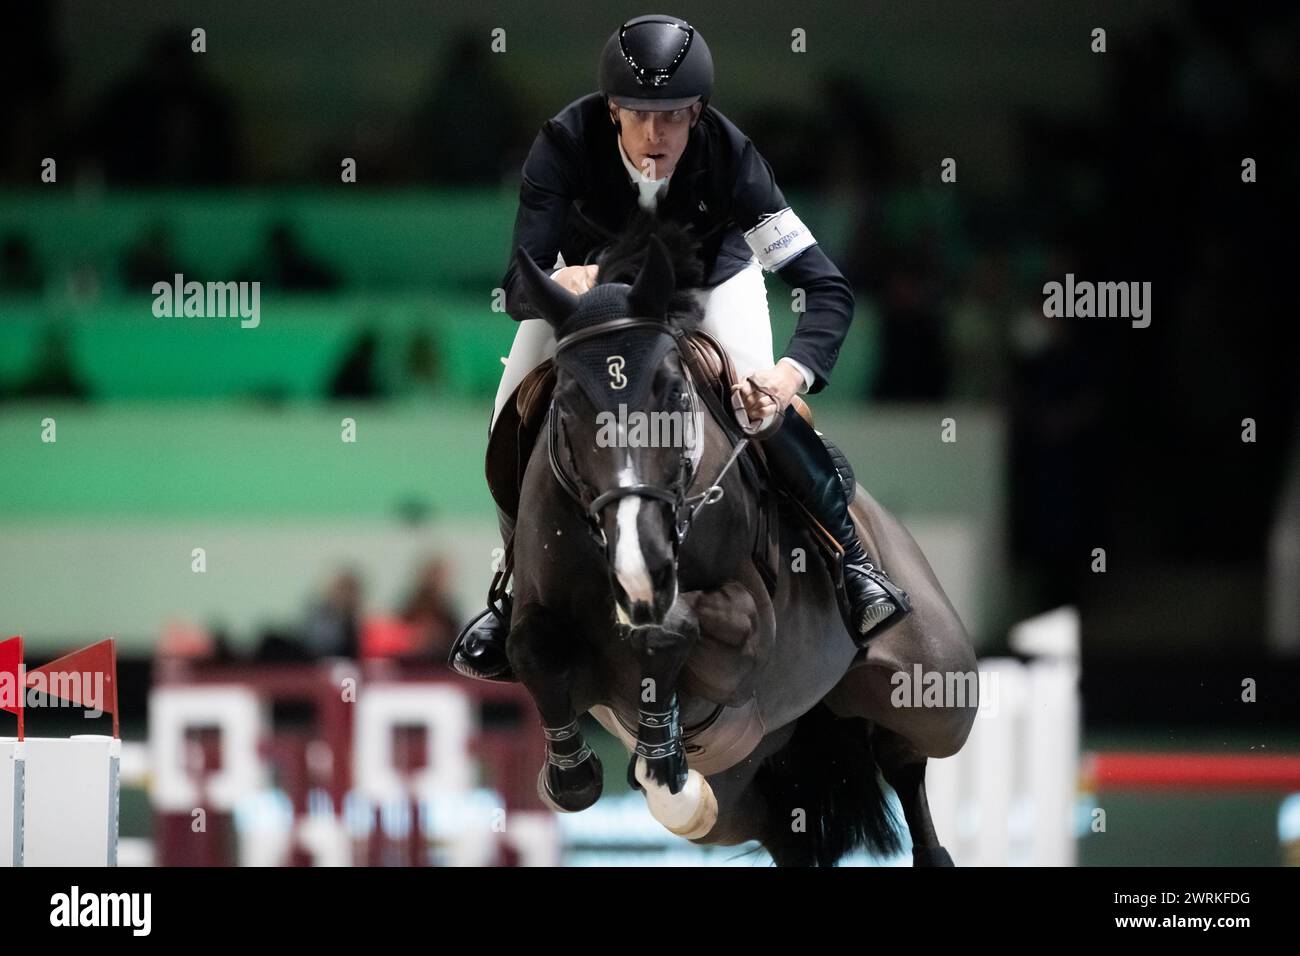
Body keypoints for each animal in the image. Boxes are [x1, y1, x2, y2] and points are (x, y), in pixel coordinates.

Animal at [496, 223, 977, 868]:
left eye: (675, 393)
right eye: (569, 400)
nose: (640, 569)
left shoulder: (748, 635)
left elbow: (680, 626)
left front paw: (662, 751)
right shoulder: (540, 616)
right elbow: (529, 648)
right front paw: (577, 773)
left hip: (935, 694)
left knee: (905, 756)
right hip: (742, 789)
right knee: (786, 829)